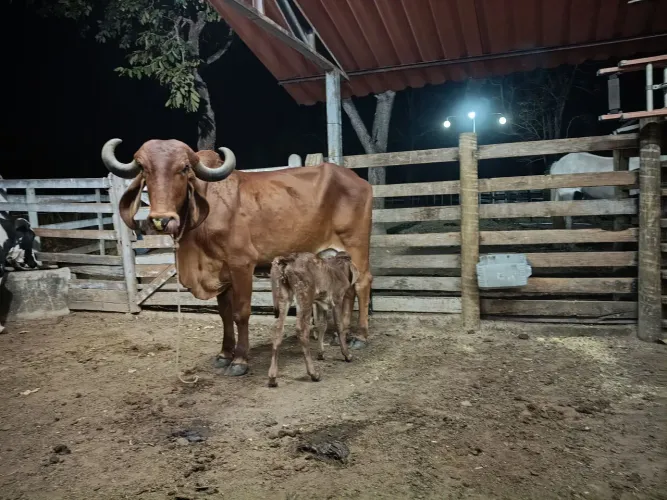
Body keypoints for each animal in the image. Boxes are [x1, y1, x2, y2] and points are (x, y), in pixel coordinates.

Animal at [268, 251, 357, 387]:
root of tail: (289, 259)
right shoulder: (337, 299)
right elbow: (339, 326)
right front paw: (347, 355)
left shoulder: (320, 303)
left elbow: (322, 325)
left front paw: (321, 353)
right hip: (305, 295)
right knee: (301, 329)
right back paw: (314, 373)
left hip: (284, 295)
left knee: (278, 329)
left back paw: (272, 377)